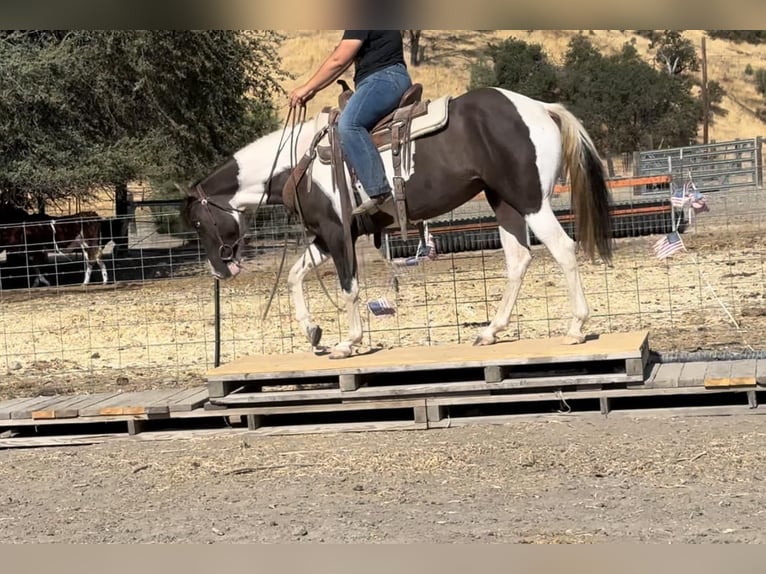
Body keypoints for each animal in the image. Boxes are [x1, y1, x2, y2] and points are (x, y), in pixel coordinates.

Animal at [181, 86, 613, 360]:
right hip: (504, 203)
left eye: (200, 224)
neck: (297, 163)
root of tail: (539, 107)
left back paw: (575, 328)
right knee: (518, 260)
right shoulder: (325, 235)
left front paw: (347, 343)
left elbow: (349, 288)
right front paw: (313, 333)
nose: (220, 271)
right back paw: (490, 331)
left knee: (563, 249)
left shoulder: (338, 232)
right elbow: (294, 275)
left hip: (531, 202)